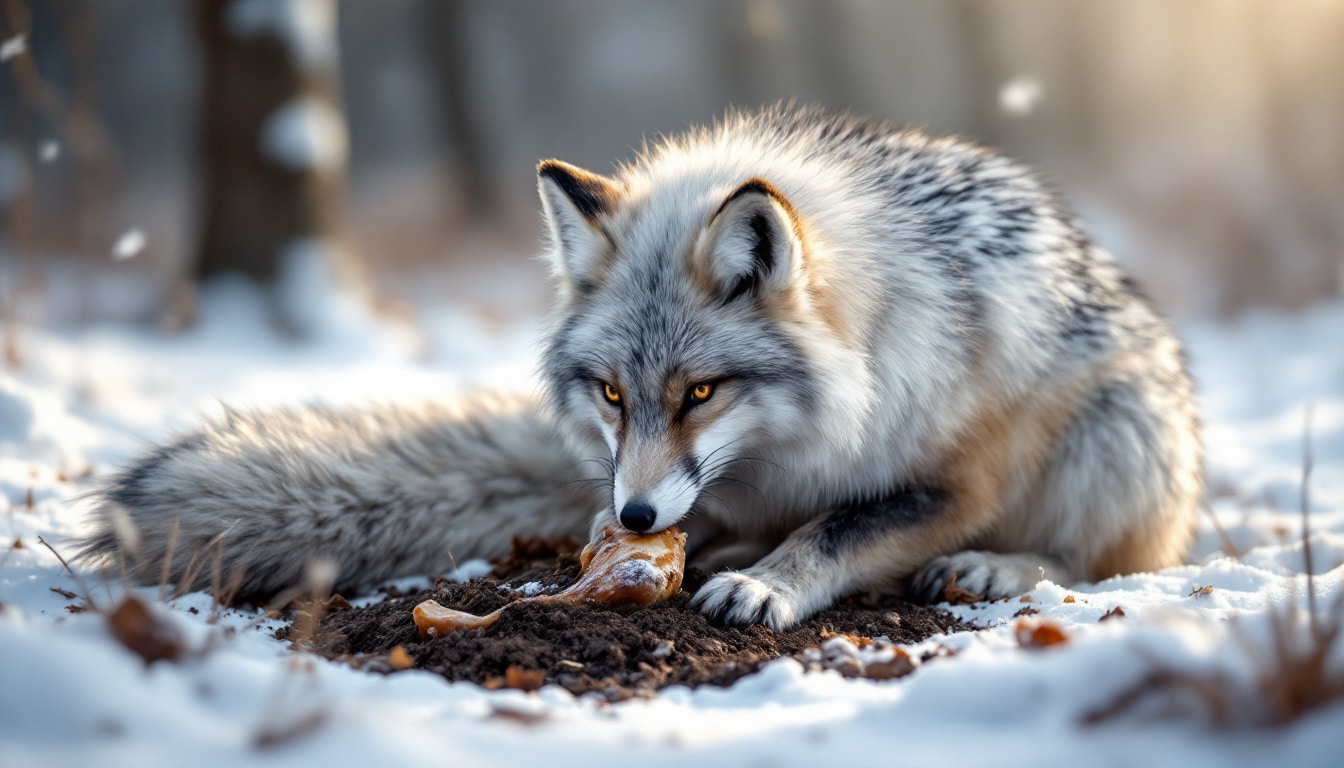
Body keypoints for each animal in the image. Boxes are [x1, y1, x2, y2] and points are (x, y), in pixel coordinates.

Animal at [78, 103, 1204, 632]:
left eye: (700, 392)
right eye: (615, 395)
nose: (633, 517)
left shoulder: (950, 479)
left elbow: (838, 532)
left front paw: (767, 584)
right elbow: (758, 524)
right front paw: (699, 553)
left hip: (1116, 436)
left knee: (1119, 561)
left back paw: (998, 567)